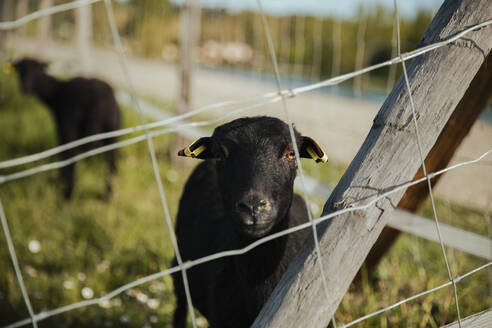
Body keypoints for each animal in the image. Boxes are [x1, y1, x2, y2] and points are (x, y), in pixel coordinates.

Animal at [13, 57, 120, 199]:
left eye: (37, 71)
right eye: (20, 70)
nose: (25, 88)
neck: (56, 93)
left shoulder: (62, 126)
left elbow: (63, 153)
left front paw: (61, 180)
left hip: (73, 126)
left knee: (73, 155)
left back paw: (68, 193)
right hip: (111, 132)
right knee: (111, 161)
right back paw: (107, 195)